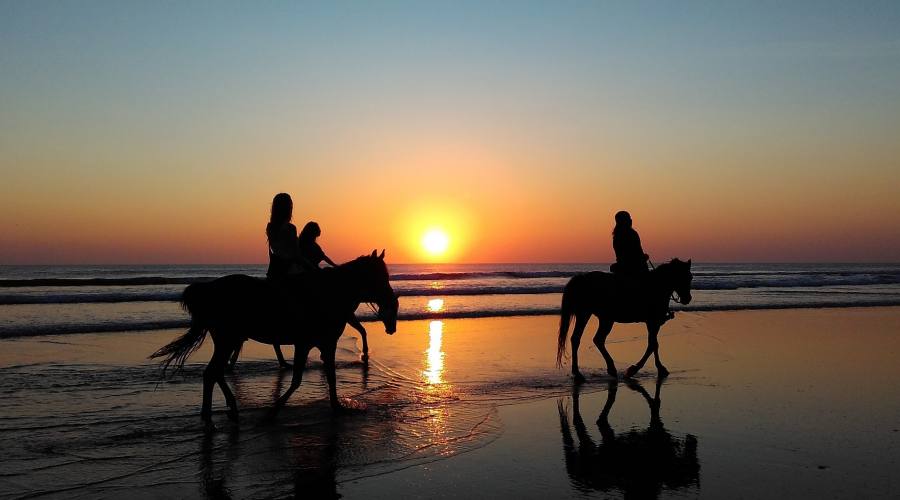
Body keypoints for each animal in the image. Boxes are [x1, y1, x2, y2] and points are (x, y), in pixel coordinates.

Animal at [153, 250, 400, 422]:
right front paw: (273, 412)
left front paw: (337, 407)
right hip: (228, 339)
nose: (392, 302)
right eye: (380, 276)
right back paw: (214, 415)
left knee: (215, 373)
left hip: (227, 340)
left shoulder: (324, 344)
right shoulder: (307, 344)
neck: (328, 293)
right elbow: (299, 379)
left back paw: (228, 409)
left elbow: (329, 376)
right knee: (213, 372)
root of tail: (208, 289)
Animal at [556, 260, 696, 380]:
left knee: (586, 339)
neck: (656, 286)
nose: (687, 298)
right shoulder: (653, 322)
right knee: (589, 339)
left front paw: (658, 368)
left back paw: (585, 371)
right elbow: (652, 345)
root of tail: (581, 279)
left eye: (690, 277)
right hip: (591, 315)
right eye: (685, 277)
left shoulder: (652, 323)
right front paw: (635, 369)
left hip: (598, 317)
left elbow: (654, 344)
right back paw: (598, 370)